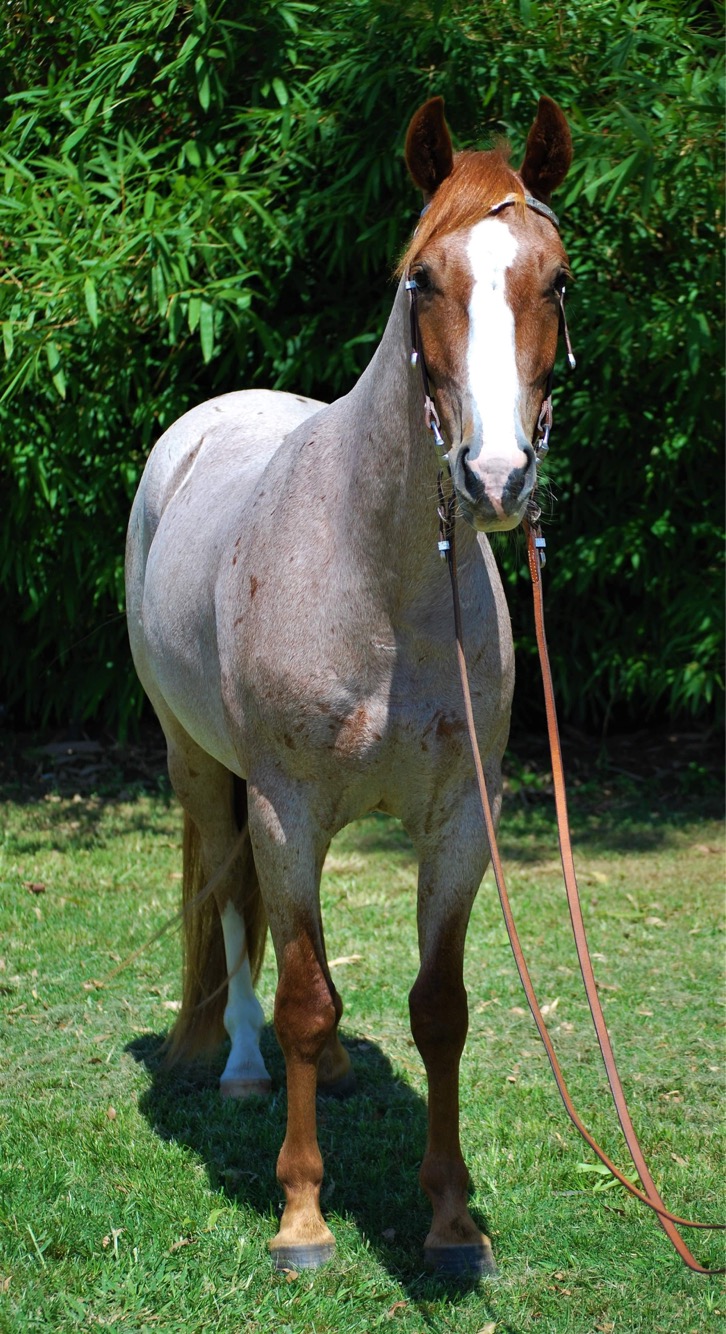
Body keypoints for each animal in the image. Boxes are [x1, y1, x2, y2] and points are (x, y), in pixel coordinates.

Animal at [125, 93, 572, 1276]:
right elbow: (303, 999)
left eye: (556, 280)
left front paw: (452, 1222)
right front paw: (302, 1218)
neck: (384, 584)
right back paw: (239, 1067)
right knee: (233, 909)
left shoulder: (462, 820)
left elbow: (440, 1009)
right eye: (424, 280)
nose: (495, 478)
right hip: (203, 770)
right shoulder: (287, 813)